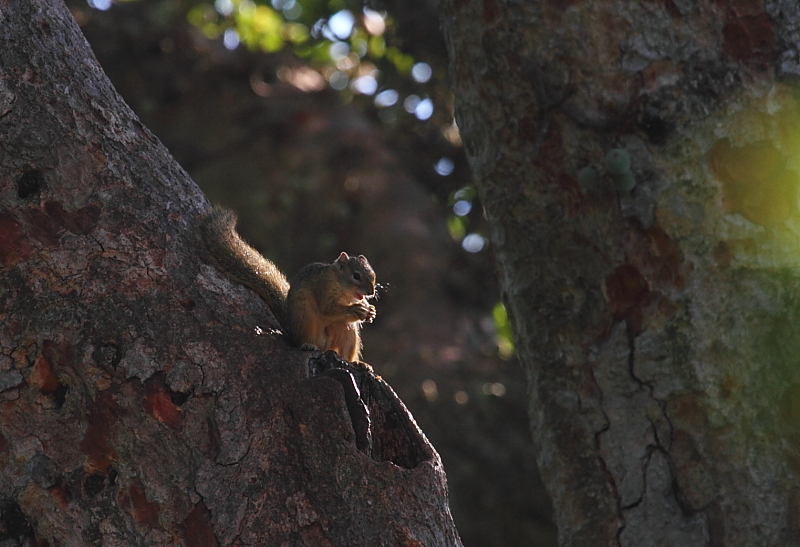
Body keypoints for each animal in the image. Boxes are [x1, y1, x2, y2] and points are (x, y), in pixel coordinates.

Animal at [198, 210, 376, 364]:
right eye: (356, 276)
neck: (344, 290)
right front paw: (355, 309)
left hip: (347, 331)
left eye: (373, 276)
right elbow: (327, 308)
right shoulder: (323, 287)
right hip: (306, 321)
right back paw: (308, 345)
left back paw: (359, 364)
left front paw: (370, 310)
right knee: (308, 341)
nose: (371, 292)